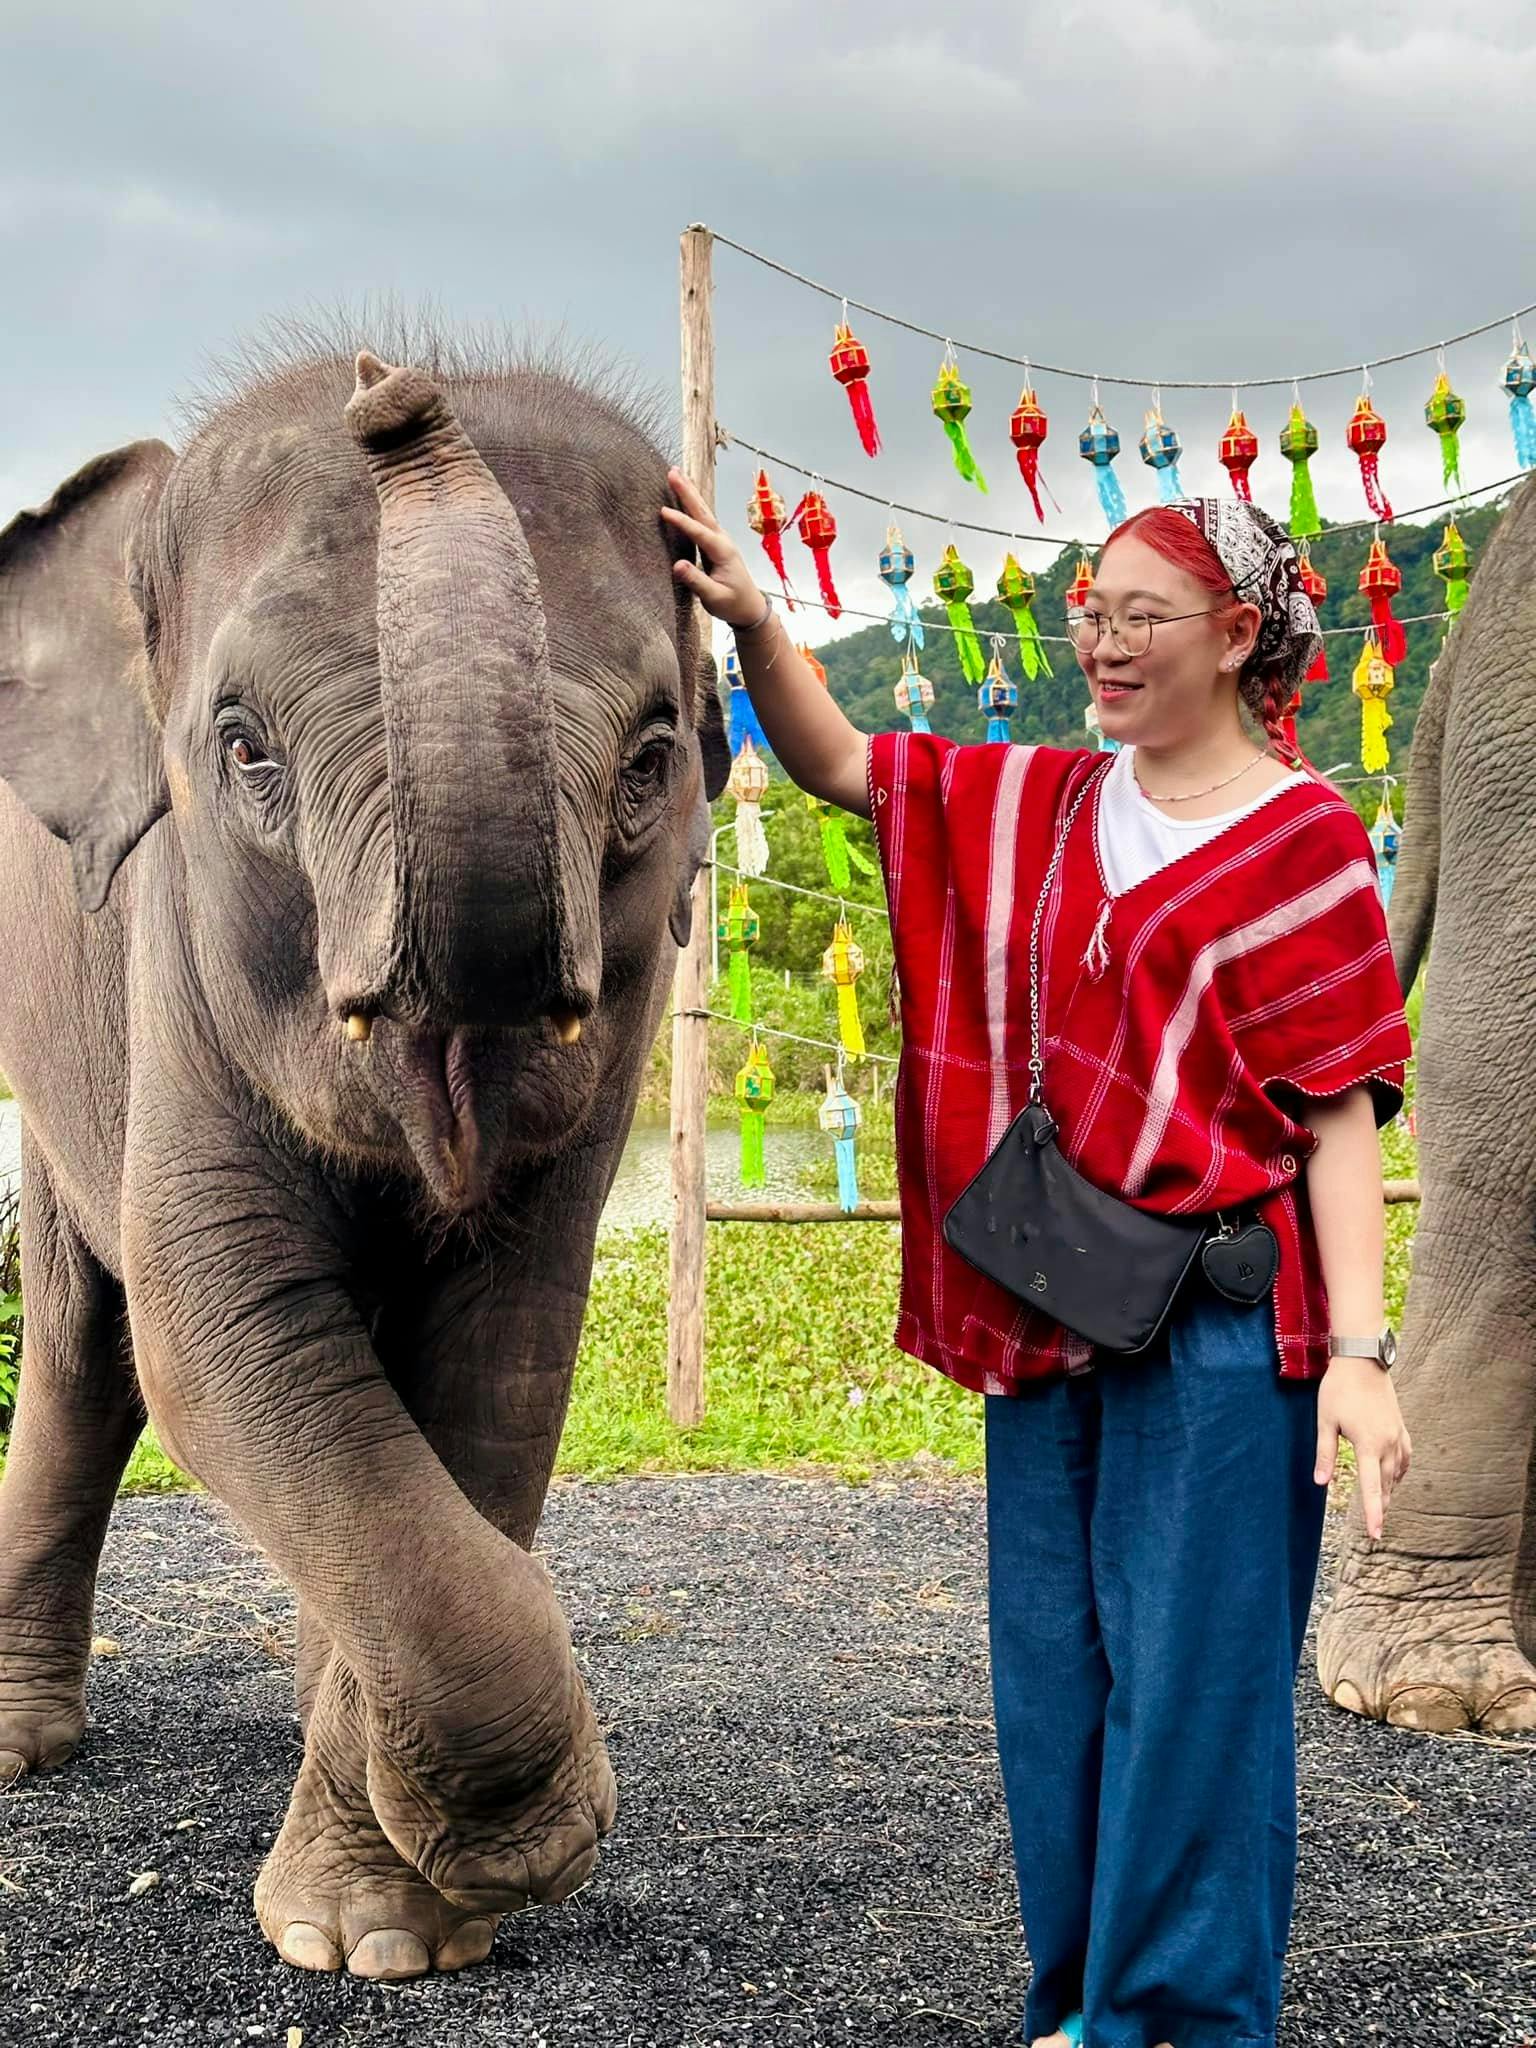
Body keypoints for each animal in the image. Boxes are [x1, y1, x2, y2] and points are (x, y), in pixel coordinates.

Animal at [0, 333, 728, 1977]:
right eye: (241, 746)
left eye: (654, 755)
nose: (393, 388)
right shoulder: (171, 964)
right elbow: (224, 1334)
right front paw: (517, 1853)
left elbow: (501, 1357)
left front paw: (393, 1928)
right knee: (87, 1351)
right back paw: (19, 1750)